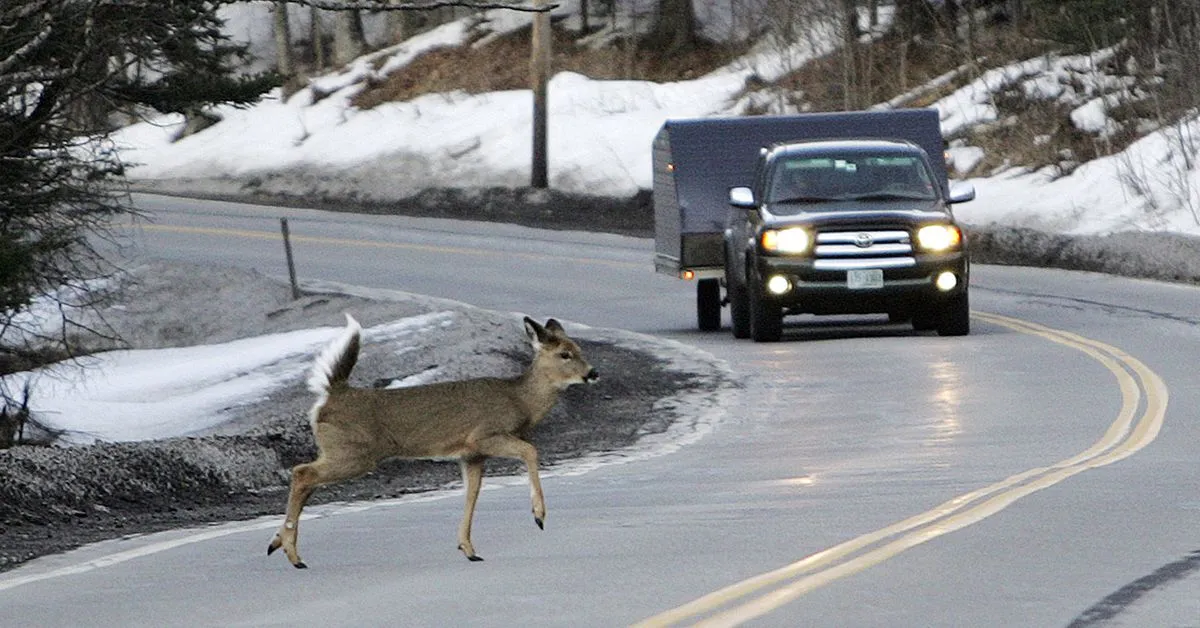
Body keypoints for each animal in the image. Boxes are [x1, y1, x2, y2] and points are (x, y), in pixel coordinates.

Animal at [267, 314, 595, 569]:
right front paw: (539, 515)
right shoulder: (484, 435)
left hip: (340, 451)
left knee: (307, 479)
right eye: (565, 354)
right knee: (302, 473)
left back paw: (278, 543)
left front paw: (468, 548)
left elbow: (472, 494)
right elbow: (530, 450)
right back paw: (293, 554)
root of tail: (331, 395)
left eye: (579, 349)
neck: (520, 402)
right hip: (355, 452)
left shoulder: (471, 455)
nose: (593, 372)